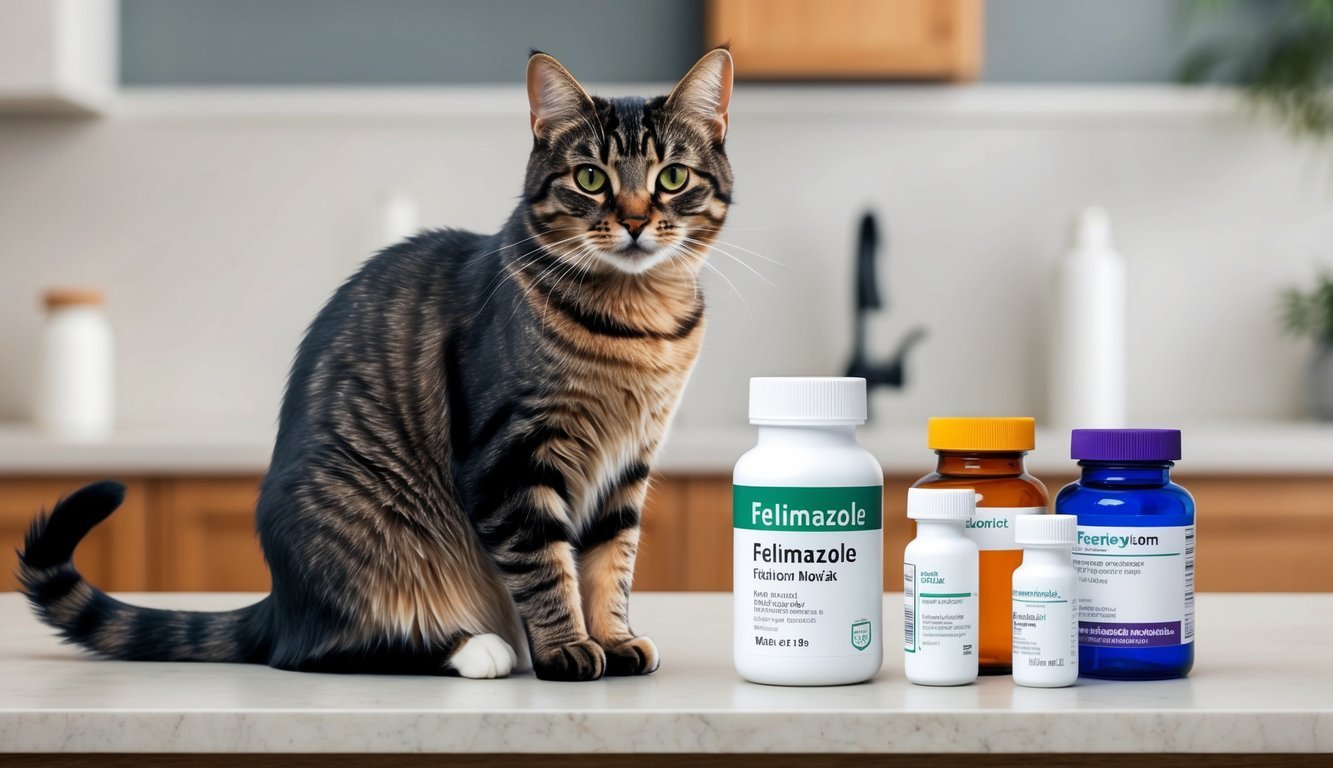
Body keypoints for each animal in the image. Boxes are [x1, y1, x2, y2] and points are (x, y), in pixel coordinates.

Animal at [15, 49, 735, 682]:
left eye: (671, 178)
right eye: (591, 178)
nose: (635, 220)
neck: (637, 324)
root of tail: (281, 604)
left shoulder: (628, 465)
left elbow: (610, 562)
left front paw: (612, 638)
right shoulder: (510, 458)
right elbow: (544, 565)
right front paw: (566, 649)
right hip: (362, 532)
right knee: (321, 649)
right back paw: (473, 648)